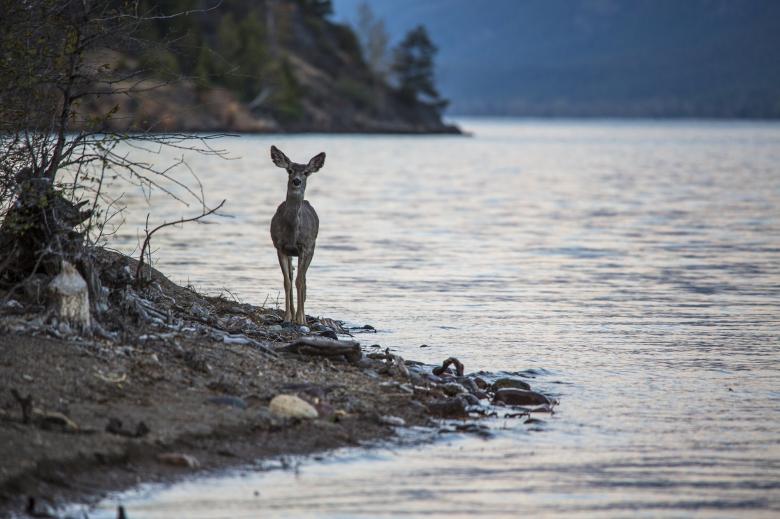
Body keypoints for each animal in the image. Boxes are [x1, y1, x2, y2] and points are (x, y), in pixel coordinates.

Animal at [269, 145, 326, 325]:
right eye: (289, 170)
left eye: (306, 172)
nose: (296, 181)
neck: (292, 233)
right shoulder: (280, 246)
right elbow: (287, 281)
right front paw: (287, 317)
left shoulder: (305, 247)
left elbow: (300, 282)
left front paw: (301, 319)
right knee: (293, 275)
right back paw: (293, 315)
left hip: (312, 248)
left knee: (304, 279)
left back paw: (301, 317)